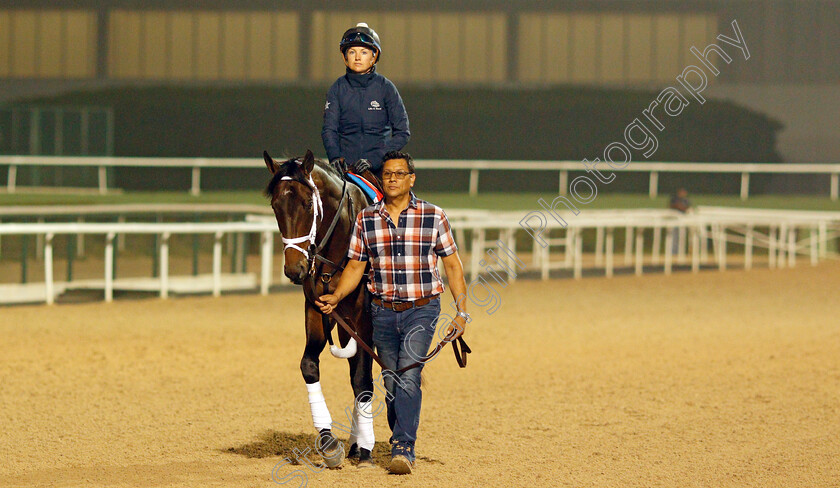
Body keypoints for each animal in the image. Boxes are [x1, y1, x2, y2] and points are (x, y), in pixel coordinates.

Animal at [262, 150, 374, 468]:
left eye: (308, 203)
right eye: (275, 205)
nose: (294, 269)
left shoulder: (362, 316)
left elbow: (362, 378)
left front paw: (365, 449)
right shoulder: (316, 308)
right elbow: (309, 366)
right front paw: (328, 442)